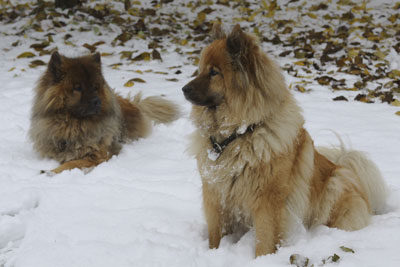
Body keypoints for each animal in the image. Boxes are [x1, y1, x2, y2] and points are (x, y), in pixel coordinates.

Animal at [28, 51, 177, 175]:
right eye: (77, 88)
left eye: (95, 87)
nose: (97, 101)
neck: (73, 126)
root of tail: (135, 104)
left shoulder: (98, 155)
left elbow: (72, 163)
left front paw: (50, 171)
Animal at [182, 25, 388, 258]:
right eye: (200, 69)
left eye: (214, 72)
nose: (184, 89)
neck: (237, 135)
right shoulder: (215, 197)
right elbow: (215, 236)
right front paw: (214, 253)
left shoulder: (267, 203)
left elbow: (264, 239)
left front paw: (261, 260)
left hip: (335, 186)